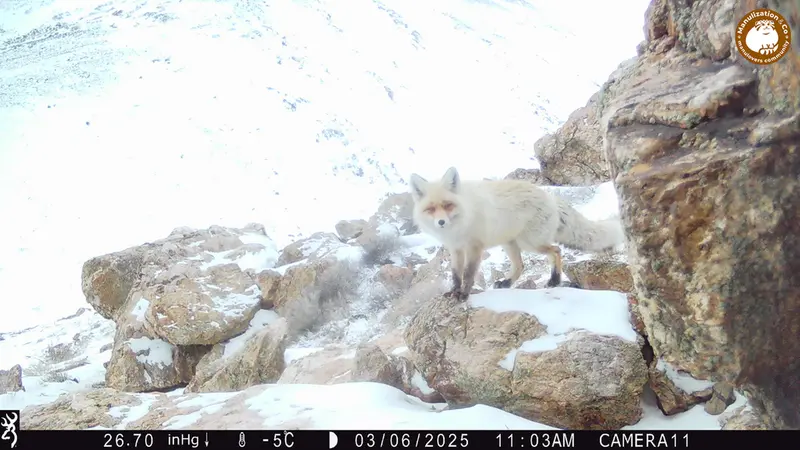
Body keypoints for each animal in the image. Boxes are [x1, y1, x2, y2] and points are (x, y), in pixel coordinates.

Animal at [408, 167, 626, 301]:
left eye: (447, 205)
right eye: (431, 209)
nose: (441, 222)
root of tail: (550, 197)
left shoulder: (474, 247)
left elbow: (468, 274)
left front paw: (463, 295)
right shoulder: (456, 249)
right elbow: (455, 275)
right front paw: (453, 292)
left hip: (531, 243)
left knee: (556, 250)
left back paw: (554, 280)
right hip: (510, 244)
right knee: (521, 266)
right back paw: (506, 283)